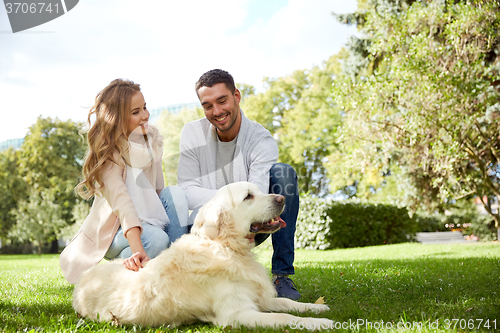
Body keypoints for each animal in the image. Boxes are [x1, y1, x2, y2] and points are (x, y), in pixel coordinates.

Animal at [73, 180, 332, 328]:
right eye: (248, 196)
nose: (282, 198)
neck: (226, 248)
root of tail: (83, 279)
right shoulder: (237, 314)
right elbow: (285, 318)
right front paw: (320, 323)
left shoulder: (261, 298)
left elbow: (286, 303)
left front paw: (316, 308)